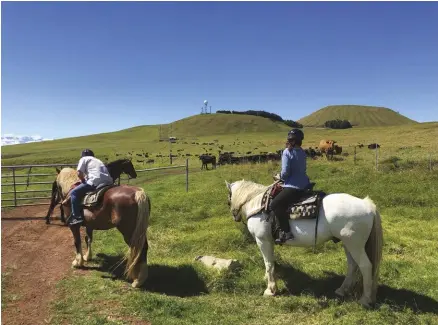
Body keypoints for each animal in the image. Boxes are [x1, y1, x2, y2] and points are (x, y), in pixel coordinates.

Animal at [226, 178, 384, 308]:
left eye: (228, 198)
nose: (234, 215)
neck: (258, 205)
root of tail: (366, 204)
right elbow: (271, 263)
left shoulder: (263, 240)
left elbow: (269, 263)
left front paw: (270, 290)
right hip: (348, 244)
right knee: (352, 265)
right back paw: (342, 290)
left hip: (355, 245)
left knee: (365, 266)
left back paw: (365, 300)